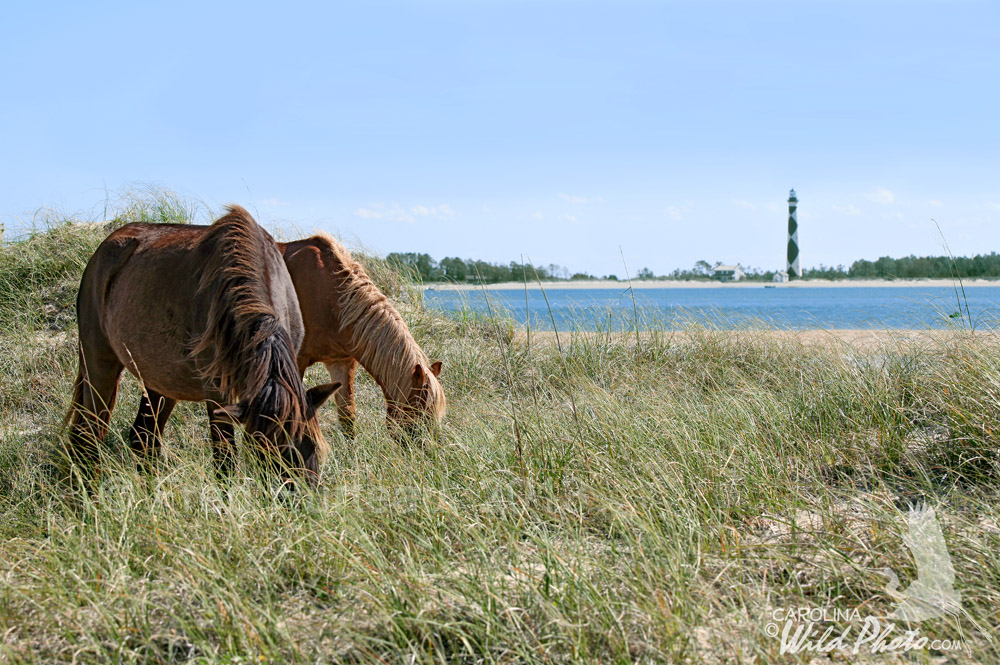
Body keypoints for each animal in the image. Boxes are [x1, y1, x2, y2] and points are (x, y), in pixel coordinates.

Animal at [67, 204, 340, 482]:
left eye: (312, 445)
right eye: (263, 451)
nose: (301, 493)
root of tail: (102, 251)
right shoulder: (217, 394)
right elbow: (225, 463)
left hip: (160, 381)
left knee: (143, 438)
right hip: (99, 364)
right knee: (88, 435)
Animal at [130, 232, 446, 440]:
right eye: (419, 416)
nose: (425, 453)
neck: (334, 296)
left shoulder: (342, 362)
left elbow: (348, 418)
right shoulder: (296, 360)